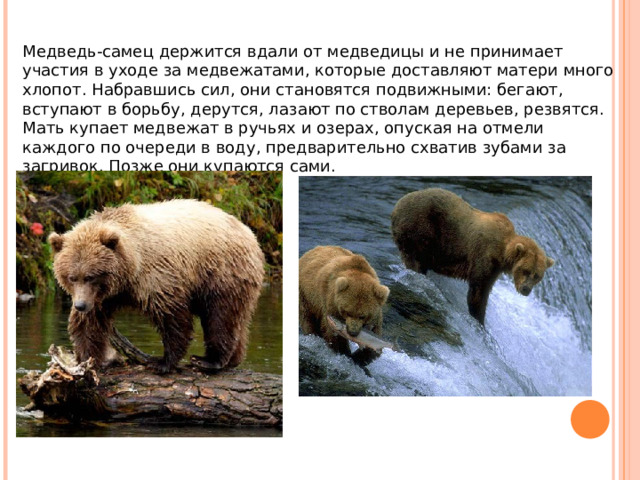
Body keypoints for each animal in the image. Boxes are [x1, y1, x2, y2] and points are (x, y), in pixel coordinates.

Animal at [48, 199, 265, 373]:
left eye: (91, 276)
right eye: (72, 277)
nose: (80, 305)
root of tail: (248, 232)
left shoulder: (156, 275)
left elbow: (172, 316)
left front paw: (162, 362)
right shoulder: (102, 296)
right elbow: (89, 324)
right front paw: (86, 360)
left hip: (221, 271)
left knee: (220, 315)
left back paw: (209, 360)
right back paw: (233, 359)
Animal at [390, 188, 554, 324]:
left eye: (537, 275)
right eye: (525, 270)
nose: (526, 289)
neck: (502, 252)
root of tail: (397, 205)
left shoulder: (495, 268)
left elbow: (484, 288)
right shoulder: (483, 255)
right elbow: (478, 290)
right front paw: (479, 318)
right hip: (419, 228)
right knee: (415, 260)